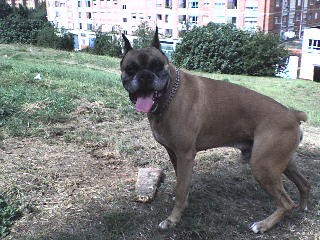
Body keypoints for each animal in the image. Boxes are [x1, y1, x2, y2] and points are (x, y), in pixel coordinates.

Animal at [120, 27, 310, 232]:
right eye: (130, 69)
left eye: (157, 66)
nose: (145, 76)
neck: (170, 95)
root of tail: (292, 114)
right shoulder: (173, 154)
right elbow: (182, 183)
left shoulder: (185, 155)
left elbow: (181, 189)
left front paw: (173, 219)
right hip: (282, 163)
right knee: (305, 184)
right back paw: (303, 208)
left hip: (263, 166)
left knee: (286, 203)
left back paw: (263, 224)